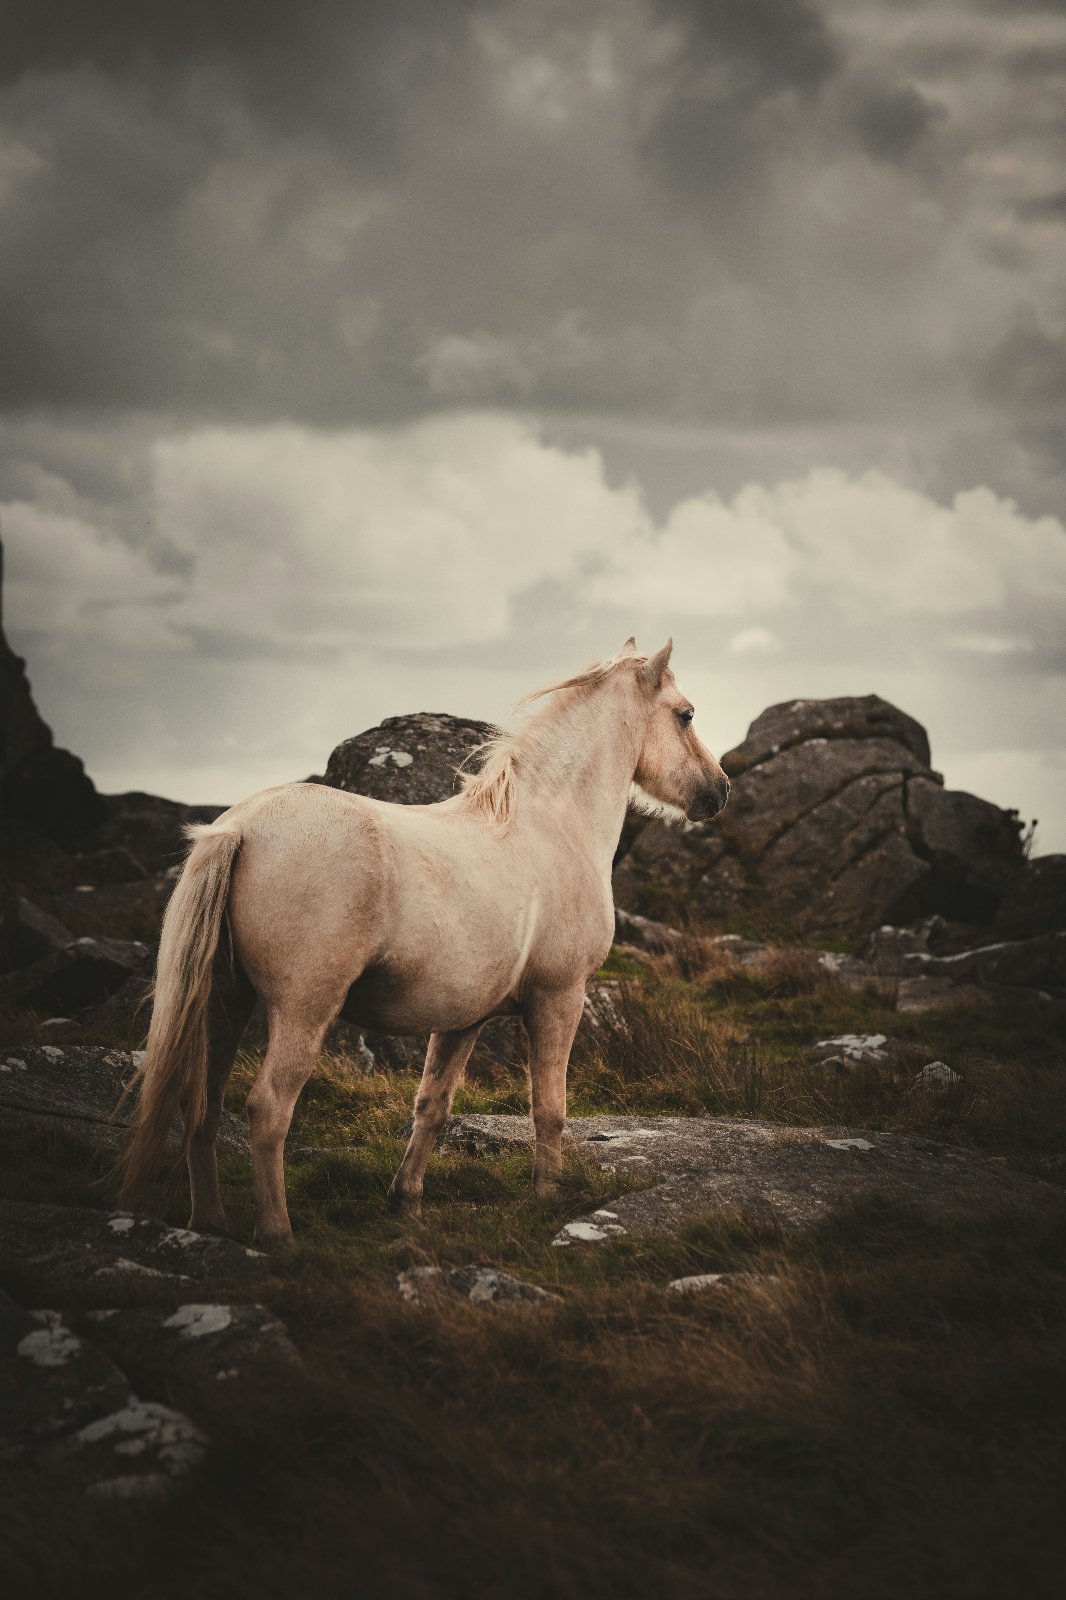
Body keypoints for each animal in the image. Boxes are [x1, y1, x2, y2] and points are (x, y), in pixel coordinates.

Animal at [117, 638, 730, 1244]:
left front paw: (405, 1203)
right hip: (303, 1010)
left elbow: (432, 1106)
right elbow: (549, 1109)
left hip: (227, 1002)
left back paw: (211, 1222)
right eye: (686, 714)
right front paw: (547, 1199)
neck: (550, 826)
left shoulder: (463, 1019)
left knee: (203, 1104)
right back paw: (277, 1235)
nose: (718, 790)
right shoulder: (560, 997)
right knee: (267, 1110)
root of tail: (238, 828)